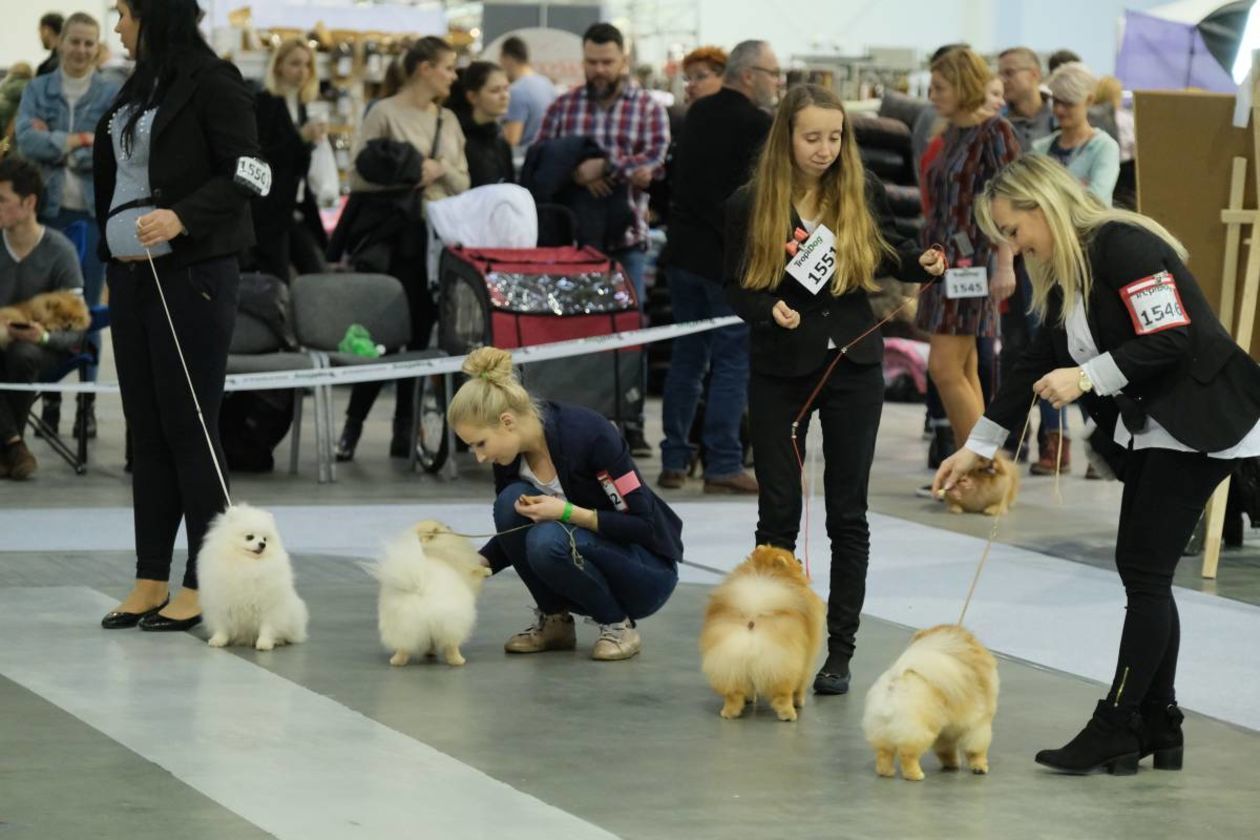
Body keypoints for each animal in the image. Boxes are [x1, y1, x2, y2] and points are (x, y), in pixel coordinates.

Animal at [201, 503, 312, 654]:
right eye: (249, 537)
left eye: (265, 539)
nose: (262, 544)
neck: (249, 565)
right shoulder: (220, 604)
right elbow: (222, 626)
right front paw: (218, 640)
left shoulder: (269, 607)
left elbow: (267, 628)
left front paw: (264, 643)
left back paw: (279, 640)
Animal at [365, 521, 491, 664]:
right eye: (440, 528)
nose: (449, 526)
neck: (429, 550)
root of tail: (421, 589)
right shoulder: (466, 571)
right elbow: (476, 571)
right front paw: (487, 570)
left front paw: (430, 652)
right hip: (451, 622)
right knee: (451, 645)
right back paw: (458, 660)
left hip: (403, 625)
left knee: (404, 646)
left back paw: (397, 661)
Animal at [700, 546, 826, 725]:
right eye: (792, 558)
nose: (800, 560)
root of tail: (752, 622)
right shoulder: (807, 658)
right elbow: (801, 686)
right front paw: (799, 701)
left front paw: (750, 698)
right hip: (783, 665)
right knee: (783, 694)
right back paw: (789, 714)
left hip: (730, 662)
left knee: (733, 693)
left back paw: (729, 712)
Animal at [861, 624, 997, 780]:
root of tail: (895, 681)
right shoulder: (979, 724)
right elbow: (977, 750)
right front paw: (980, 767)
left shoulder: (946, 731)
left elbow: (946, 750)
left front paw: (952, 764)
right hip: (918, 729)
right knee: (907, 754)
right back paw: (915, 775)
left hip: (881, 729)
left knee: (884, 753)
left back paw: (887, 772)